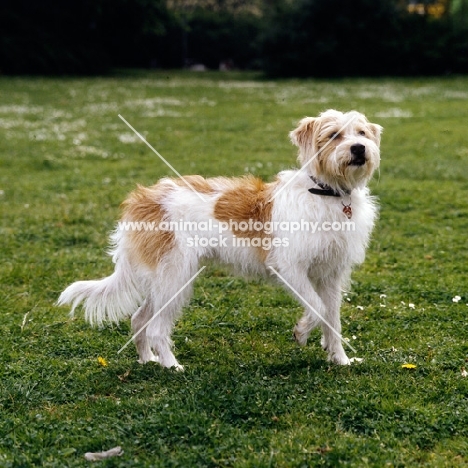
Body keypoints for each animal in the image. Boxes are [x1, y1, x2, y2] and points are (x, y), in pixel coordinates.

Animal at [58, 109, 382, 370]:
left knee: (140, 319)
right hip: (176, 277)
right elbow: (316, 308)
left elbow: (332, 318)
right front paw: (301, 333)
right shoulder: (290, 268)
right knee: (156, 328)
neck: (327, 193)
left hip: (163, 281)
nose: (359, 148)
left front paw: (340, 359)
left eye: (362, 133)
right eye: (334, 135)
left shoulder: (331, 274)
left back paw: (147, 360)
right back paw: (171, 366)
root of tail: (141, 200)